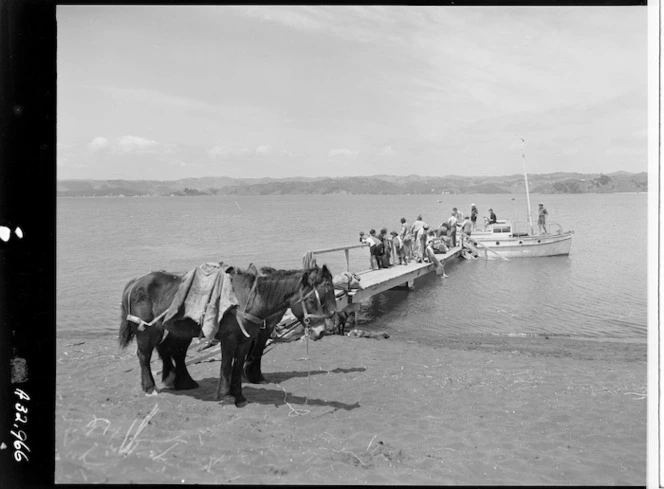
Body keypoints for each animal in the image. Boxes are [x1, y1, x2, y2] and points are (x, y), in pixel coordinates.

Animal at [118, 264, 338, 404]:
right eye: (312, 300)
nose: (321, 331)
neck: (246, 299)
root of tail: (136, 282)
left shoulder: (245, 341)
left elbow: (237, 366)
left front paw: (239, 396)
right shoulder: (229, 339)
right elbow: (226, 365)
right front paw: (225, 395)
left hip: (175, 331)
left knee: (172, 351)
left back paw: (183, 382)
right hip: (148, 330)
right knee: (144, 356)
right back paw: (150, 388)